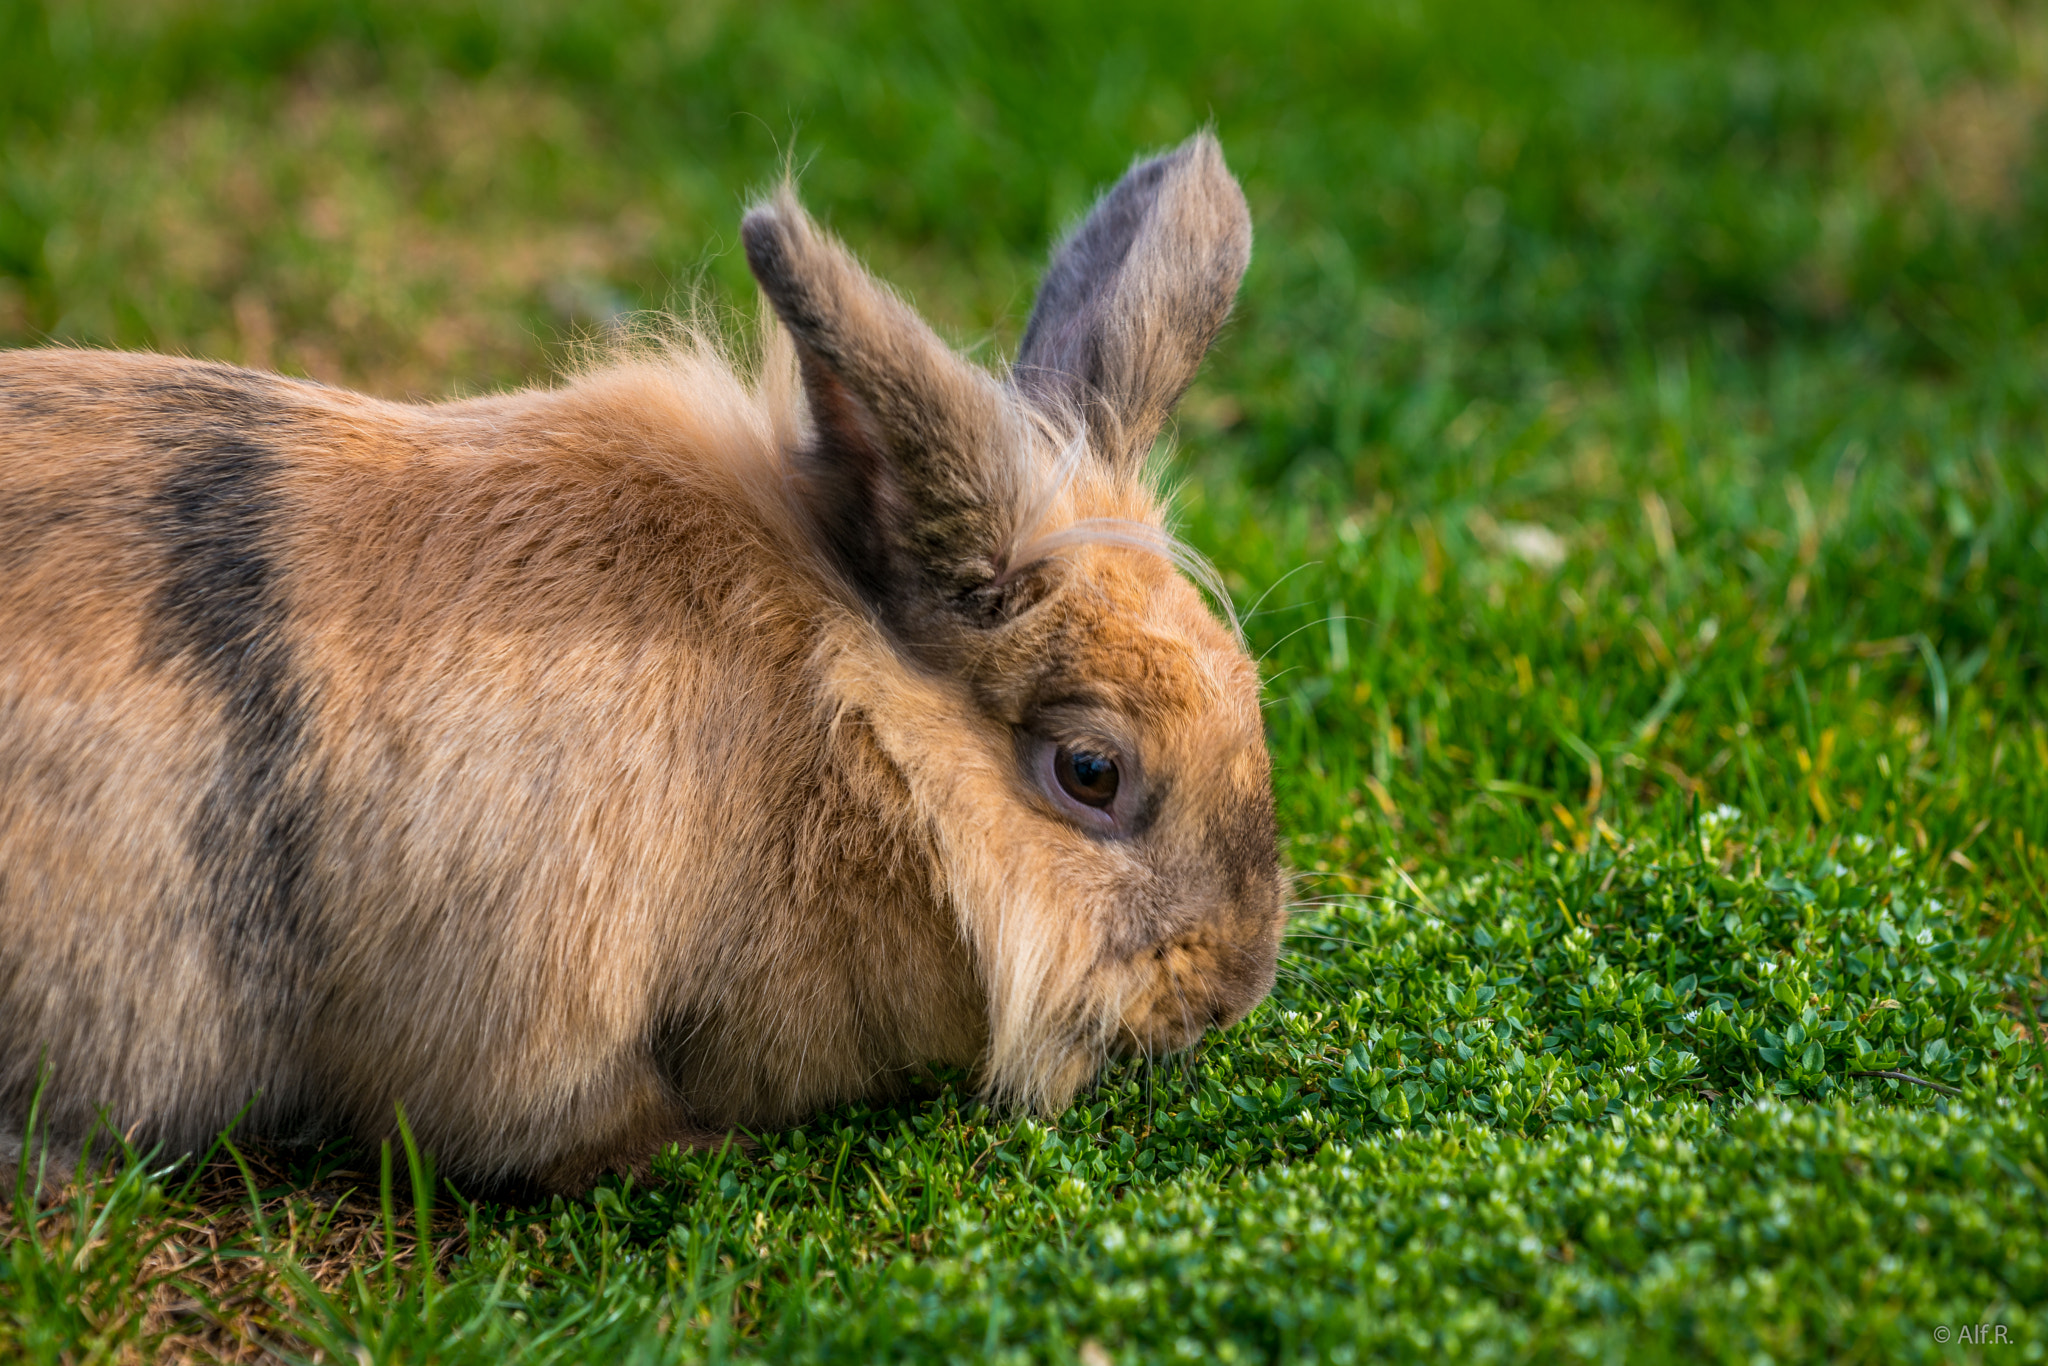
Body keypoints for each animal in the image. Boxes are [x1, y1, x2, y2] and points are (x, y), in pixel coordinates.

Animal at [0, 131, 1277, 1196]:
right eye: (1091, 772)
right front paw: (695, 1152)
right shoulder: (528, 1007)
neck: (833, 726)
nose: (1233, 986)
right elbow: (552, 1120)